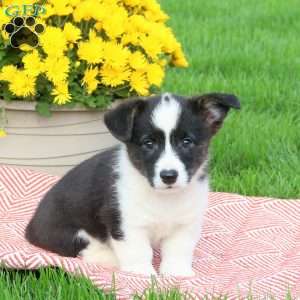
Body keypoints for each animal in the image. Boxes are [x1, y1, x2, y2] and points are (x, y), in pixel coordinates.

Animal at [26, 92, 241, 276]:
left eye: (187, 142)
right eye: (148, 143)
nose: (168, 176)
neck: (164, 197)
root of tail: (31, 227)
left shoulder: (185, 223)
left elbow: (178, 250)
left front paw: (177, 274)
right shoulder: (126, 224)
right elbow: (138, 251)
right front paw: (142, 274)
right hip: (68, 231)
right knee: (83, 246)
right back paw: (110, 258)